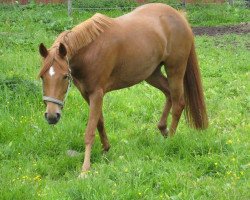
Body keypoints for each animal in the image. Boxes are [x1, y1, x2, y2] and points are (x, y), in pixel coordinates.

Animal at [38, 3, 208, 177]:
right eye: (42, 77)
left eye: (65, 76)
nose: (51, 116)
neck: (90, 51)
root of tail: (180, 16)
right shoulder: (87, 94)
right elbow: (99, 122)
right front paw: (105, 149)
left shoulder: (97, 94)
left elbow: (90, 130)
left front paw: (85, 169)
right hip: (152, 74)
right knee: (169, 94)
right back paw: (163, 129)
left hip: (175, 69)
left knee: (178, 103)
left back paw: (171, 138)